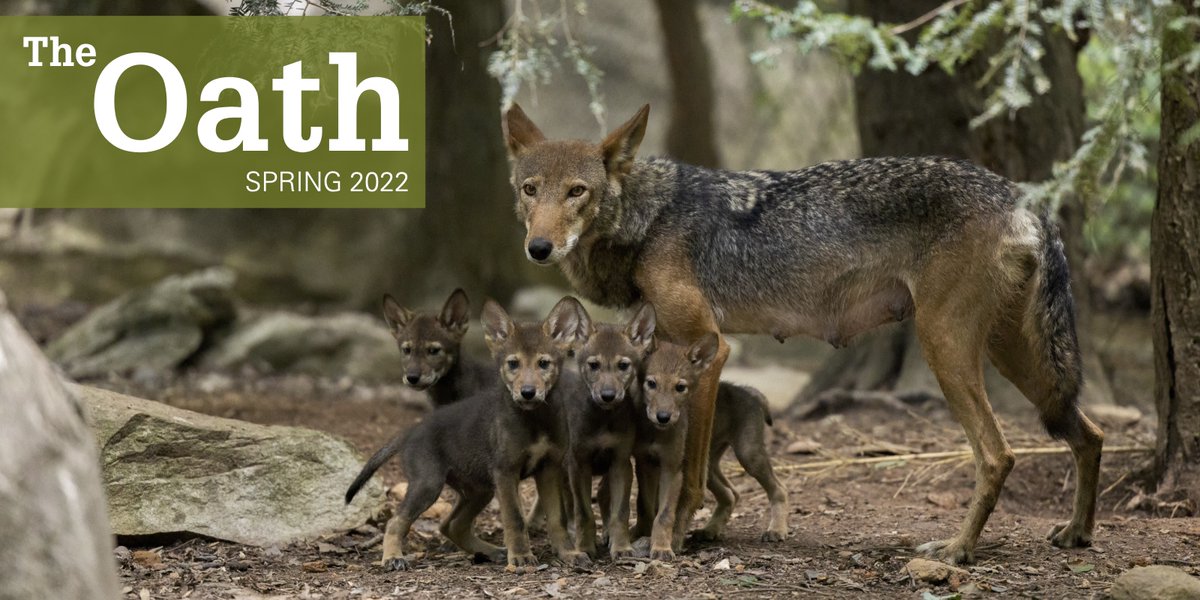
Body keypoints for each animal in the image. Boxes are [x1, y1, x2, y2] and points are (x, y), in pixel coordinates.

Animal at [345, 296, 591, 571]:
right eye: (513, 364)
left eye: (544, 363)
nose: (527, 392)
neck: (535, 420)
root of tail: (412, 430)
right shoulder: (505, 471)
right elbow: (514, 519)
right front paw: (520, 557)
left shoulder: (548, 468)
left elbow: (558, 519)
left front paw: (569, 554)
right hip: (429, 483)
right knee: (397, 521)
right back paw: (392, 558)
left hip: (478, 488)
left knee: (451, 525)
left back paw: (492, 552)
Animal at [500, 104, 1104, 564]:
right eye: (531, 190)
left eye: (577, 191)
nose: (538, 248)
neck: (649, 220)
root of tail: (1022, 196)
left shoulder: (708, 349)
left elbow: (689, 473)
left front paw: (670, 539)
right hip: (1013, 358)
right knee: (1090, 433)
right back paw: (1076, 533)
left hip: (946, 348)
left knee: (999, 455)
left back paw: (957, 550)